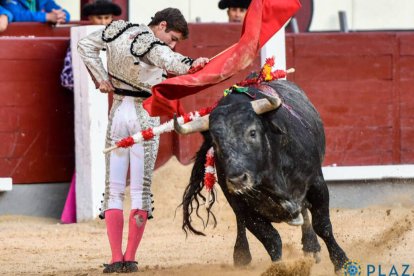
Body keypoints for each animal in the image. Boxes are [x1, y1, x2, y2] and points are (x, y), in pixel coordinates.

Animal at [174, 78, 350, 272]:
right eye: (216, 142)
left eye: (252, 132)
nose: (237, 179)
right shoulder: (244, 207)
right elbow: (271, 240)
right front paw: (279, 269)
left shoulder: (316, 184)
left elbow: (322, 225)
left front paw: (341, 262)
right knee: (242, 224)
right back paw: (241, 255)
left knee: (304, 210)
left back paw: (311, 247)